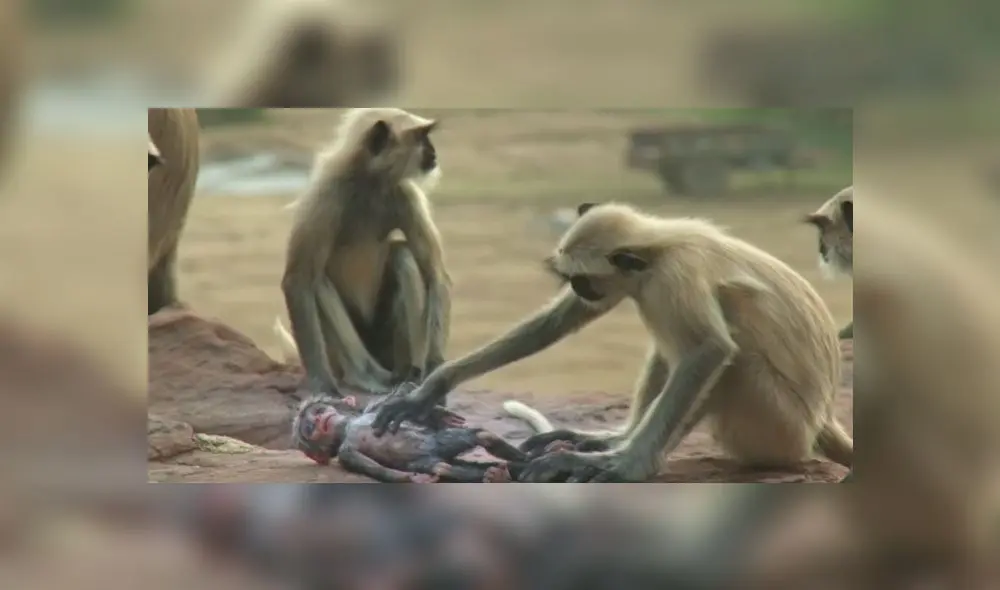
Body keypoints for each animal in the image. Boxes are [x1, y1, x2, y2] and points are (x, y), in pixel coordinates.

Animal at [278, 108, 451, 397]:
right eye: (421, 137)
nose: (434, 152)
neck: (369, 181)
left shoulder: (405, 194)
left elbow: (435, 275)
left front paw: (435, 368)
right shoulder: (324, 194)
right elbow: (298, 280)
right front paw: (321, 385)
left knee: (402, 255)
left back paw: (409, 372)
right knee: (318, 281)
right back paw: (364, 374)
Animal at [291, 390, 530, 483]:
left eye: (319, 411)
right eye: (309, 428)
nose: (320, 421)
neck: (347, 427)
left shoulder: (373, 412)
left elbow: (394, 404)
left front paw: (438, 413)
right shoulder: (346, 452)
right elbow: (372, 467)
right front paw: (410, 479)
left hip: (440, 441)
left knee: (482, 436)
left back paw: (523, 462)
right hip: (426, 459)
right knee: (443, 467)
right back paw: (501, 474)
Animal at [374, 201, 852, 483]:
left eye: (582, 279)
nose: (578, 287)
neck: (658, 248)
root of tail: (820, 421)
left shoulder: (673, 276)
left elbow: (709, 351)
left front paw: (628, 466)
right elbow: (561, 319)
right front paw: (429, 389)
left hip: (779, 427)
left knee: (730, 358)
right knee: (670, 349)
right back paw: (609, 440)